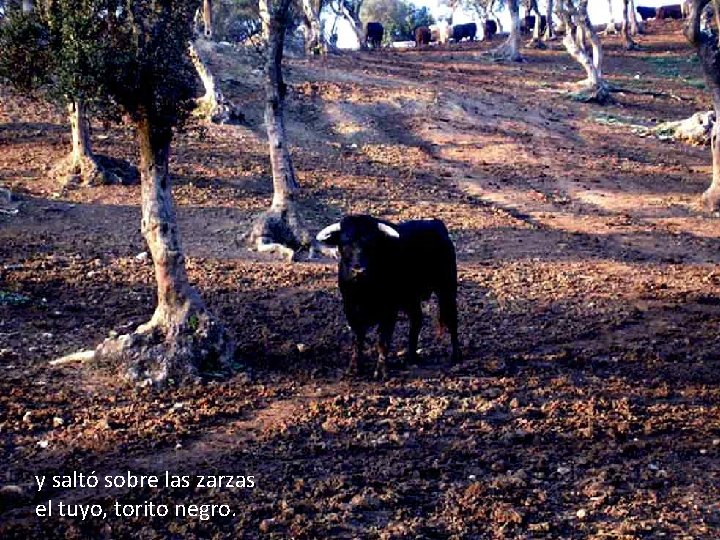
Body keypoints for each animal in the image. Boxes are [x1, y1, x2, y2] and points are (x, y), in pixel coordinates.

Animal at [316, 213, 462, 378]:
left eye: (372, 243)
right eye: (344, 242)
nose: (359, 270)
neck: (364, 290)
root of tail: (436, 224)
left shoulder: (389, 311)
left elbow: (383, 340)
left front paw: (381, 371)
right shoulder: (351, 309)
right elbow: (357, 339)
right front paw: (354, 369)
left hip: (447, 289)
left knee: (452, 321)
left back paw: (455, 356)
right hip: (411, 298)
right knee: (417, 320)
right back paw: (412, 356)